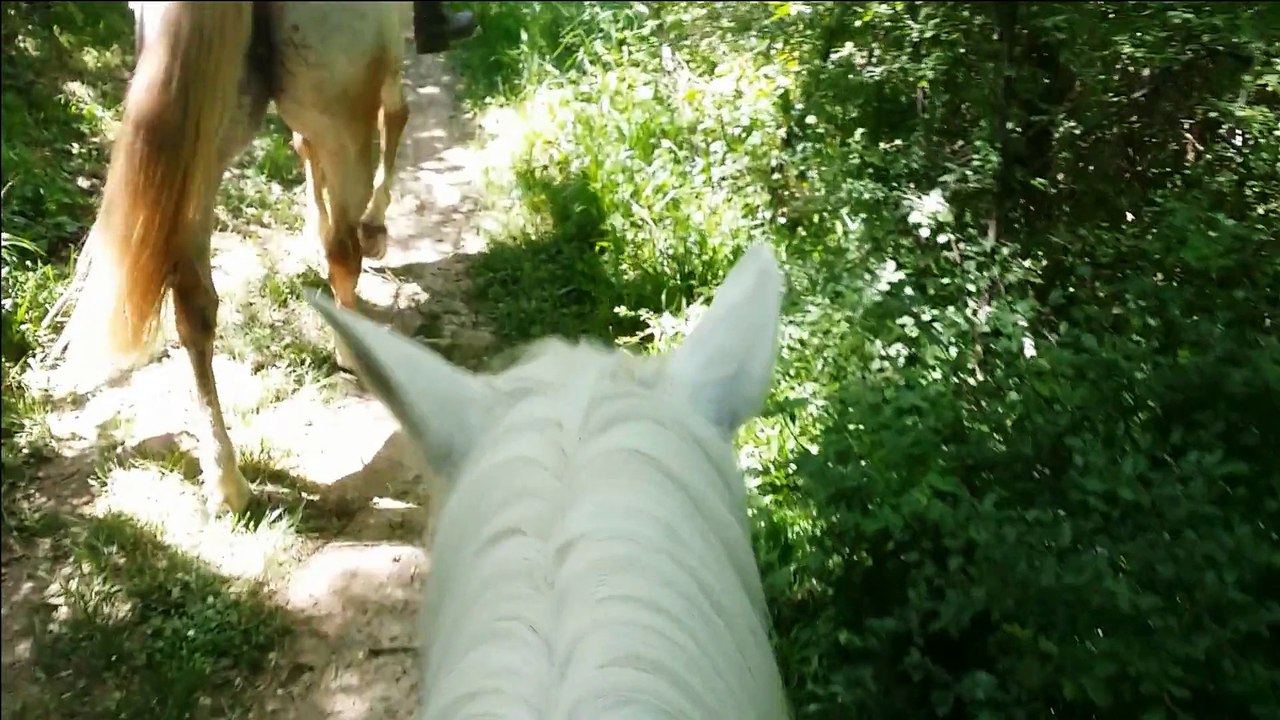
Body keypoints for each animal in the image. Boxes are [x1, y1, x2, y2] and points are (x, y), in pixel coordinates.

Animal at [49, 2, 413, 515]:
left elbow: (308, 144)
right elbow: (396, 113)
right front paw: (374, 227)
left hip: (204, 141)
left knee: (194, 305)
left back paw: (225, 480)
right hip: (339, 116)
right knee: (343, 248)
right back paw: (353, 343)